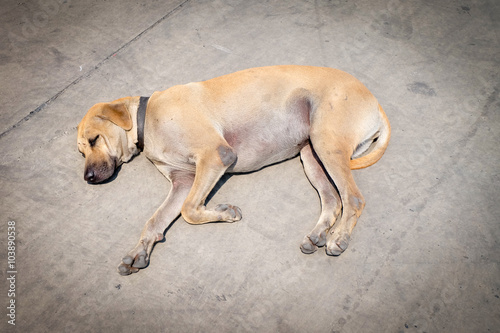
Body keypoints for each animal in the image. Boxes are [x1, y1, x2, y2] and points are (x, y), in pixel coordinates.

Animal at [77, 65, 390, 274]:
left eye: (94, 140)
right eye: (81, 152)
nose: (88, 178)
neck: (148, 117)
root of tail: (375, 101)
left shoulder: (216, 156)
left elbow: (189, 210)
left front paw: (224, 212)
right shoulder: (183, 182)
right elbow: (156, 220)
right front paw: (139, 250)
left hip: (326, 143)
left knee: (353, 198)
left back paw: (339, 238)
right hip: (312, 154)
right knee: (333, 200)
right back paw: (319, 234)